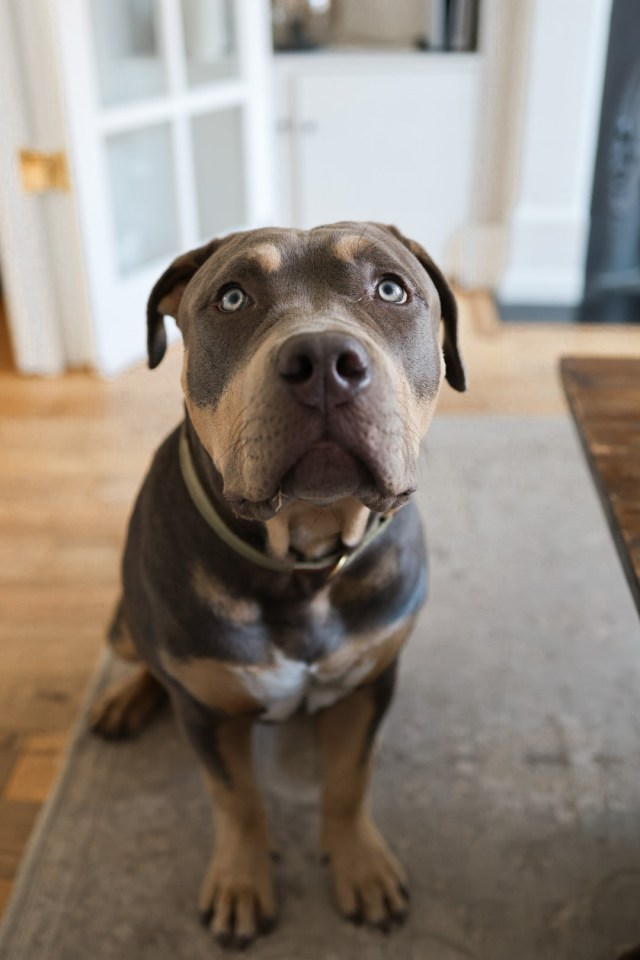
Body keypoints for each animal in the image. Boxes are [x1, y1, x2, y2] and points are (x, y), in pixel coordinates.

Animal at [91, 221, 464, 948]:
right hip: (124, 625)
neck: (303, 559)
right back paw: (124, 699)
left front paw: (361, 867)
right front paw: (241, 883)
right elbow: (236, 800)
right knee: (144, 657)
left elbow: (349, 782)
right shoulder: (205, 713)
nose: (322, 358)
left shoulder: (372, 684)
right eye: (233, 298)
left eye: (390, 289)